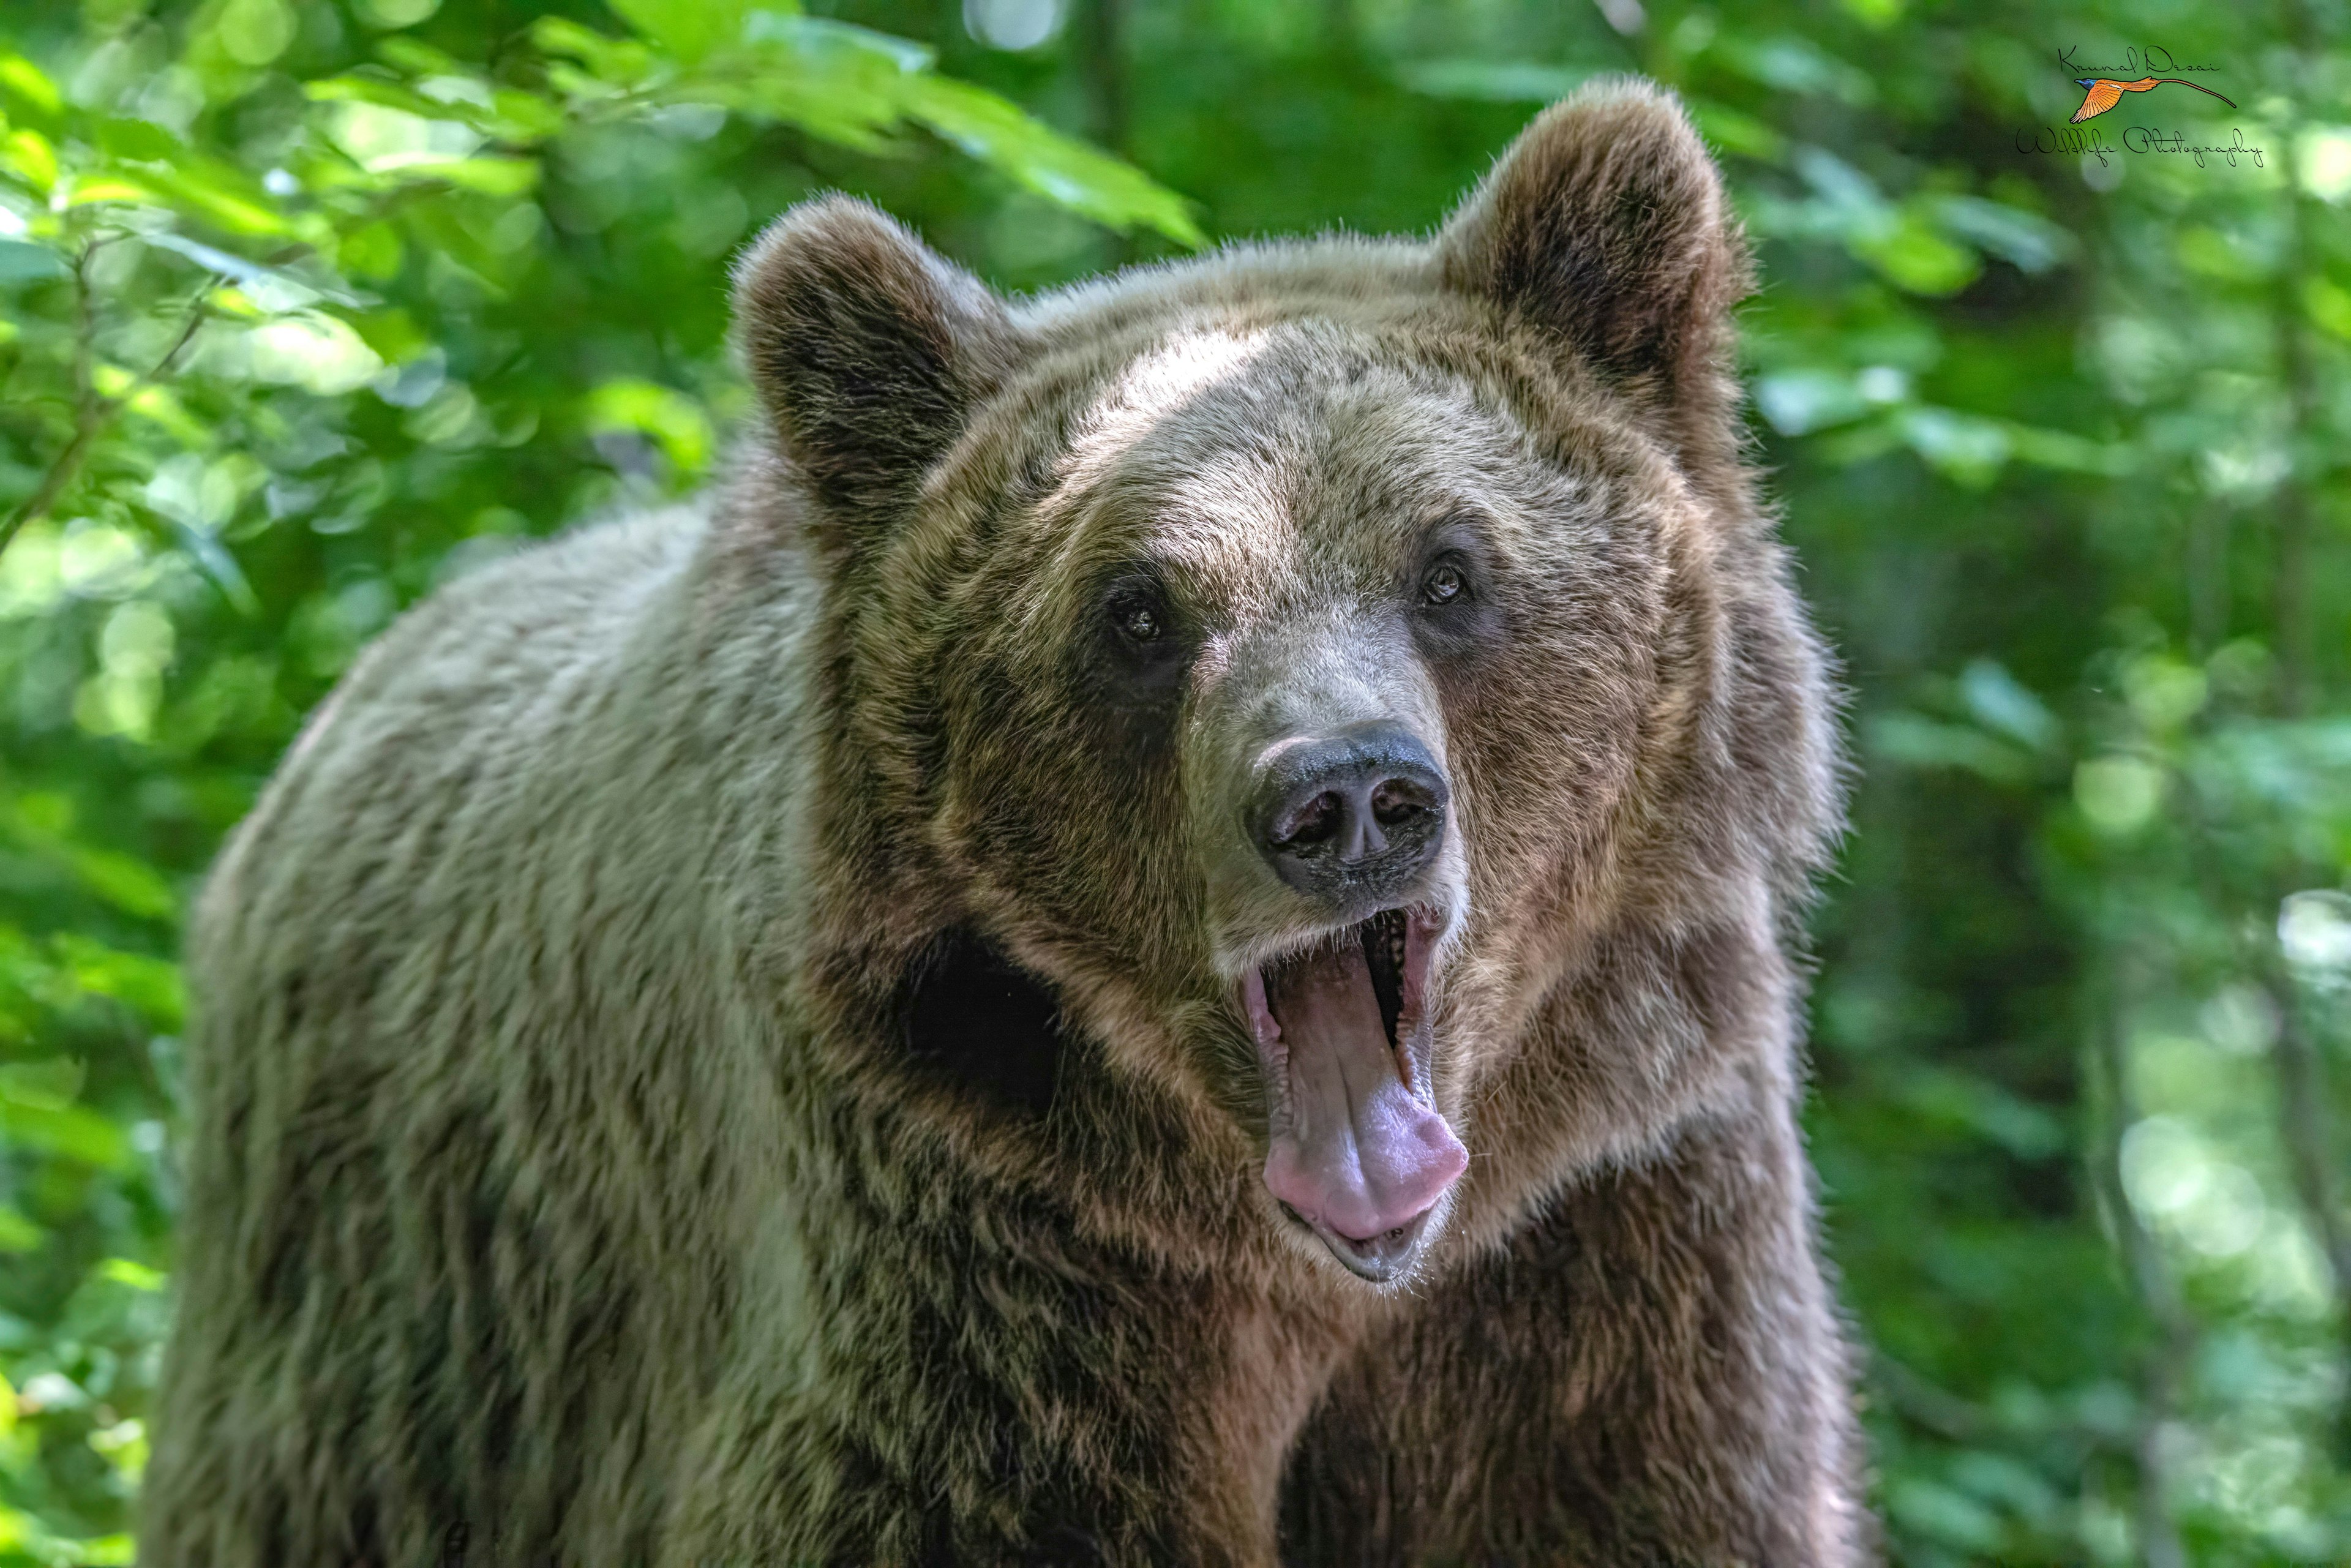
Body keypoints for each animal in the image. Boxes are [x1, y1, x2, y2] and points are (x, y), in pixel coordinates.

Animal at [147, 76, 1871, 1568]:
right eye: (1137, 609)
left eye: (1449, 567)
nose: (1344, 798)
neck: (1307, 1274)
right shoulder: (982, 1275)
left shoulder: (1605, 1243)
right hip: (389, 1343)